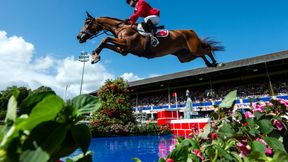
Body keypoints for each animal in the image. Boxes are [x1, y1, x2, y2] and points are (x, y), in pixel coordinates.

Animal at [77, 12, 225, 67]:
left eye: (87, 23)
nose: (79, 37)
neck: (121, 28)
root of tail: (190, 31)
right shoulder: (123, 50)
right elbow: (106, 43)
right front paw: (95, 56)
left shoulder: (128, 44)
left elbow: (105, 39)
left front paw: (95, 56)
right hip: (185, 56)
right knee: (202, 53)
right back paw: (209, 64)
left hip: (193, 49)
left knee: (207, 50)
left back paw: (216, 63)